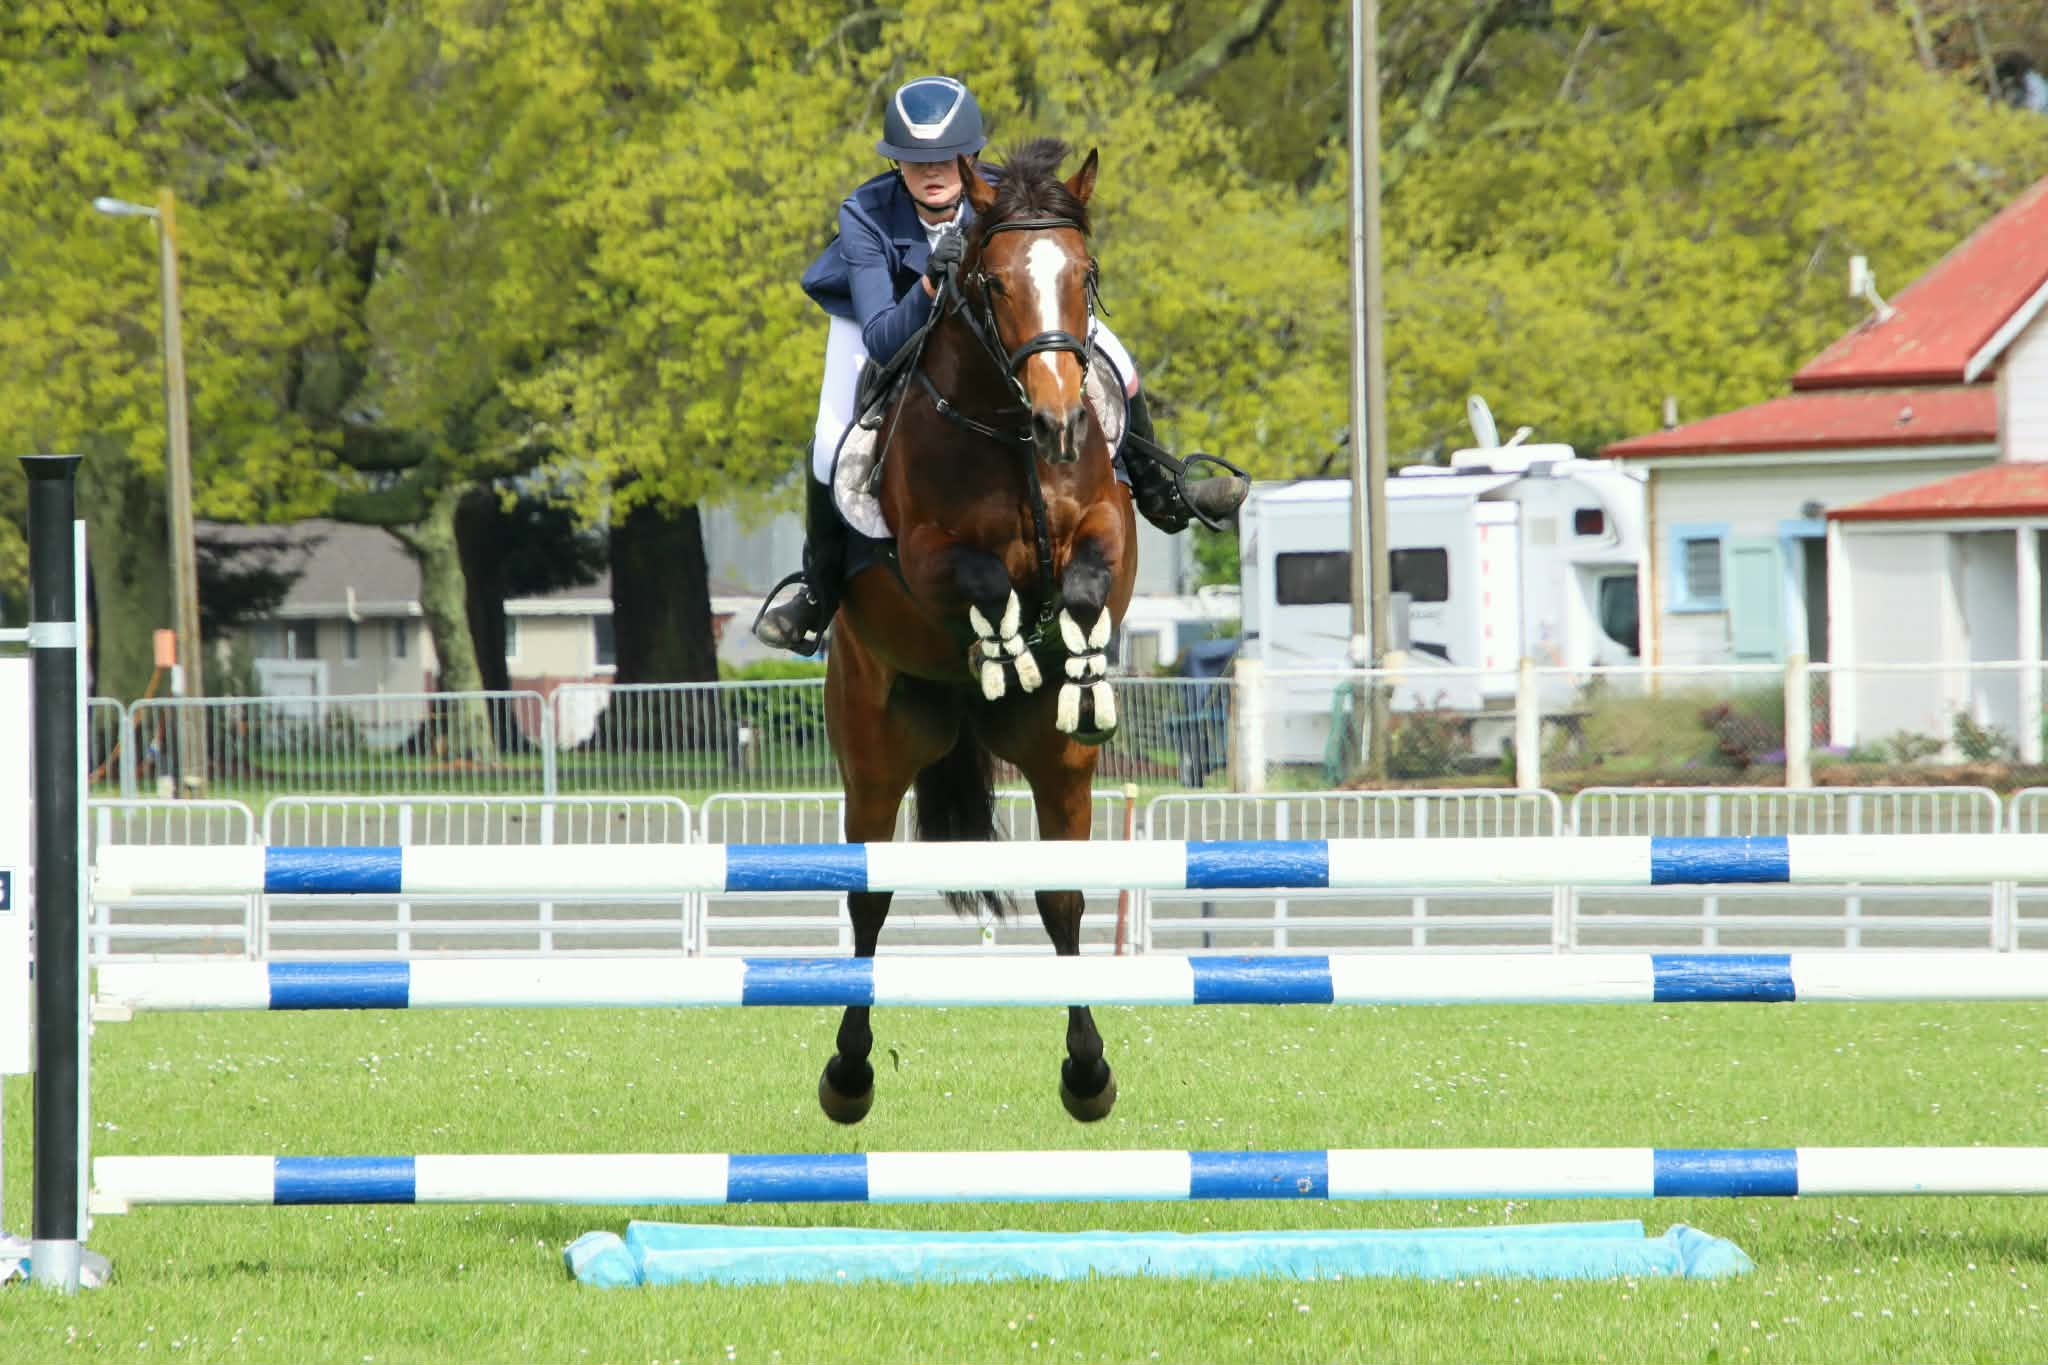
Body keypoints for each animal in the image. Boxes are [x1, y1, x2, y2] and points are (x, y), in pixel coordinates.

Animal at [821, 139, 1137, 1125]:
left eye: (1085, 273)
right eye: (993, 283)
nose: (1063, 418)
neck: (1006, 434)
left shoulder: (1109, 532)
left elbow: (1088, 586)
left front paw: (1081, 663)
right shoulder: (925, 556)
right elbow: (981, 578)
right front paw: (1000, 649)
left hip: (1056, 764)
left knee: (1063, 898)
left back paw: (1089, 1072)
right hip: (873, 749)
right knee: (869, 905)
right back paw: (848, 1077)